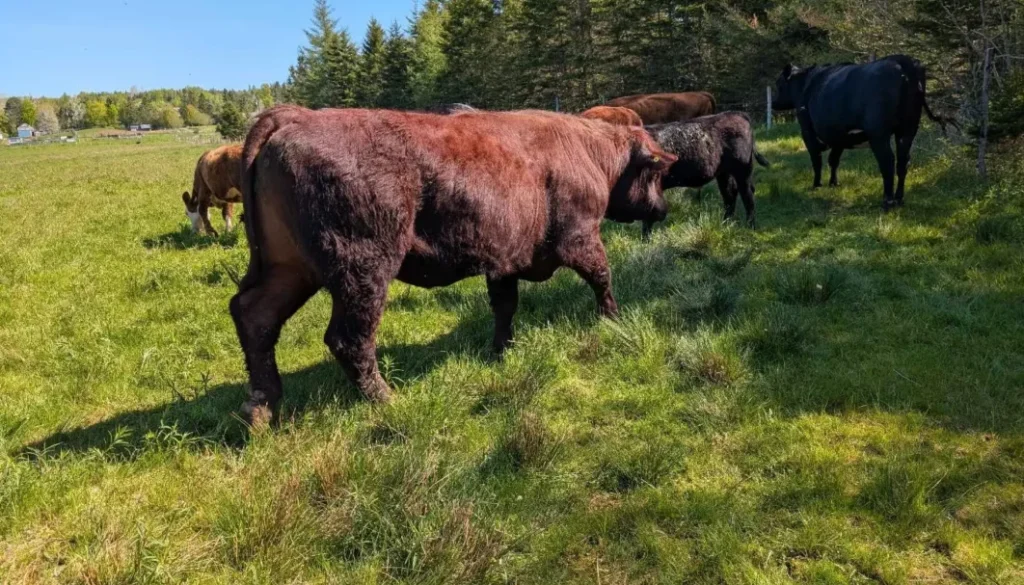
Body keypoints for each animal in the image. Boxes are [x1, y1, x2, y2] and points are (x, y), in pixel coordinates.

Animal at [230, 105, 677, 424]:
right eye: (656, 174)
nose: (662, 209)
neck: (590, 151)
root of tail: (297, 116)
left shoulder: (504, 262)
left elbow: (504, 307)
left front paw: (501, 350)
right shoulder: (581, 239)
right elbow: (602, 278)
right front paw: (612, 318)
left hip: (291, 270)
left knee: (255, 315)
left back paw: (261, 409)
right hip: (363, 272)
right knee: (349, 338)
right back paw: (387, 400)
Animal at [642, 112, 770, 236]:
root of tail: (738, 114)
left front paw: (646, 239)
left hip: (743, 172)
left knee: (747, 195)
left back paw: (750, 227)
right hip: (725, 174)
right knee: (730, 195)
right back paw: (725, 225)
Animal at [772, 54, 958, 210]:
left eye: (779, 85)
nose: (773, 103)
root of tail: (901, 60)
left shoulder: (807, 131)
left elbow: (816, 160)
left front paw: (817, 185)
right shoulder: (839, 136)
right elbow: (834, 160)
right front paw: (833, 183)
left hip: (879, 134)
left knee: (887, 161)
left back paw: (887, 201)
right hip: (908, 129)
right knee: (903, 161)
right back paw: (899, 199)